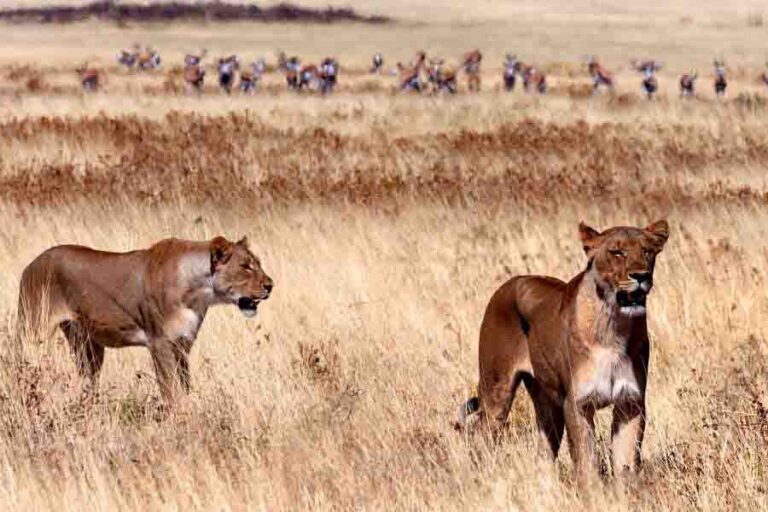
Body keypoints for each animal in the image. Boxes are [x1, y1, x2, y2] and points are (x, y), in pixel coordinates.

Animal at [16, 236, 273, 401]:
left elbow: (185, 386)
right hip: (33, 330)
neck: (199, 293)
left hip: (87, 345)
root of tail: (30, 265)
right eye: (246, 266)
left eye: (258, 263)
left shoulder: (183, 345)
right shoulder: (159, 342)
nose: (271, 285)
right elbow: (170, 390)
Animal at [459, 220, 669, 482]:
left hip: (548, 405)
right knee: (481, 435)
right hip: (496, 393)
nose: (641, 276)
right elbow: (585, 463)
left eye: (647, 252)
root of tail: (508, 284)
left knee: (543, 451)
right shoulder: (577, 403)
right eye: (617, 252)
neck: (614, 327)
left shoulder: (631, 403)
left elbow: (626, 463)